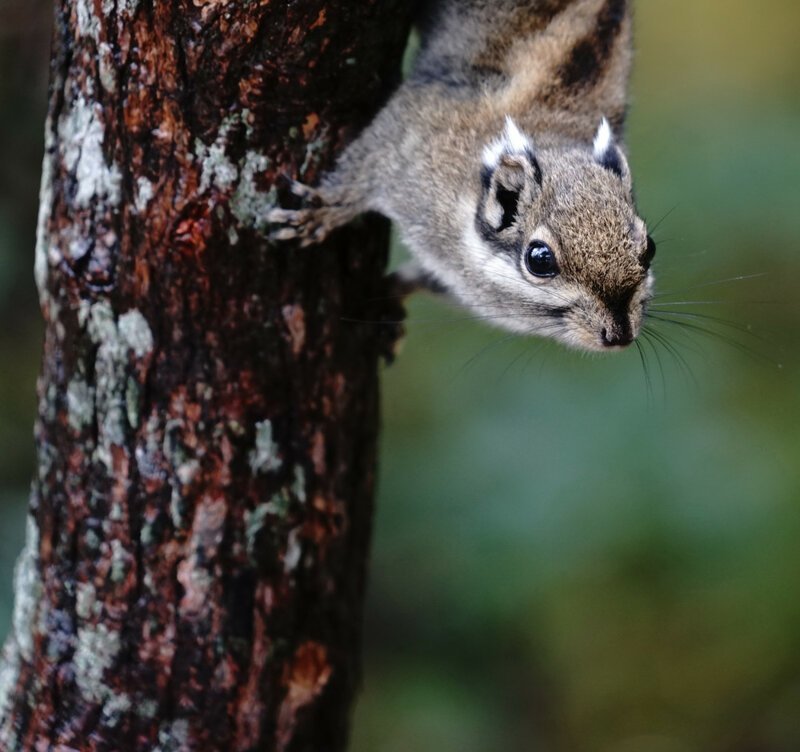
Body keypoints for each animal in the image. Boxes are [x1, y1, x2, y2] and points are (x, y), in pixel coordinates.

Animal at [268, 0, 656, 352]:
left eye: (649, 248)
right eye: (539, 259)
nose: (619, 335)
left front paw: (390, 296)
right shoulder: (409, 131)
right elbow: (362, 167)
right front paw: (322, 210)